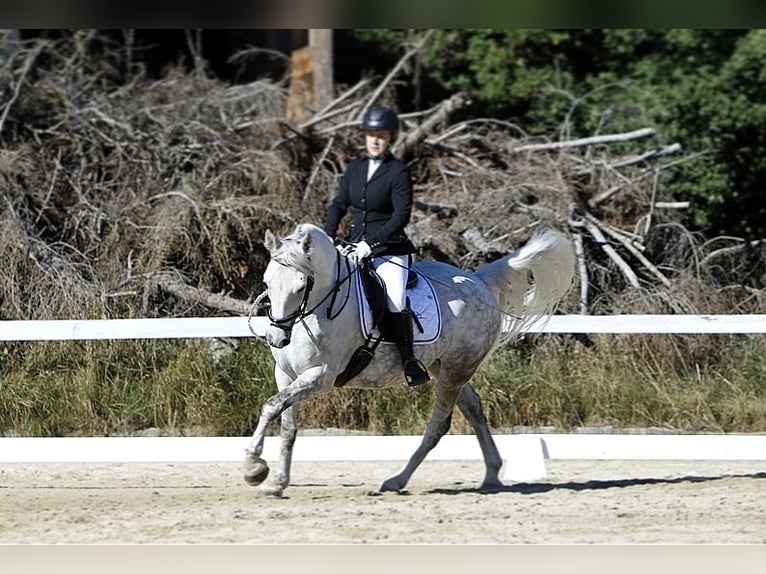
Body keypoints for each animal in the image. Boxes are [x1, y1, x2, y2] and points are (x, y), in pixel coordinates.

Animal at [244, 222, 575, 496]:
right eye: (267, 282)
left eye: (302, 285)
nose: (277, 338)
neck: (317, 308)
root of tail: (477, 281)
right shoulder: (286, 375)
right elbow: (286, 425)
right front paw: (276, 482)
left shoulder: (320, 376)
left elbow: (270, 405)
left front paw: (253, 466)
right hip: (445, 367)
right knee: (474, 408)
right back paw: (492, 476)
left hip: (456, 369)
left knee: (439, 424)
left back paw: (396, 481)